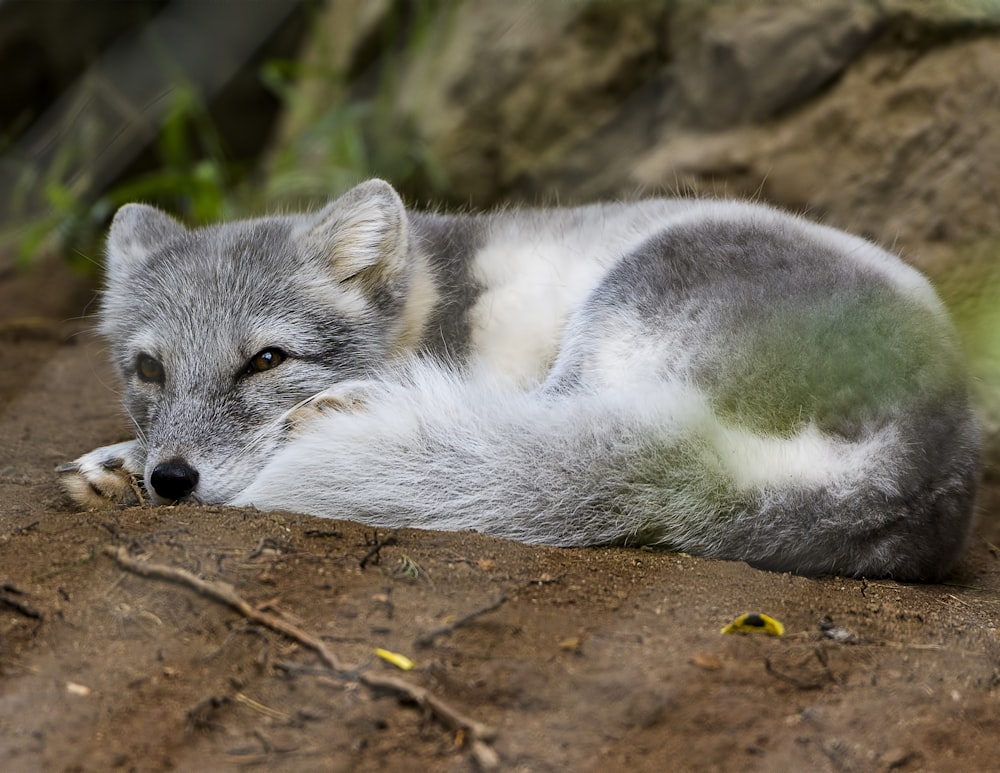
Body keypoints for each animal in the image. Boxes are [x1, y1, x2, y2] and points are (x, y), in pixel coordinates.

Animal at [58, 179, 980, 580]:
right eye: (149, 368)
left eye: (267, 360)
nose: (173, 481)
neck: (433, 303)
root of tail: (922, 467)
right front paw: (118, 461)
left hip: (633, 292)